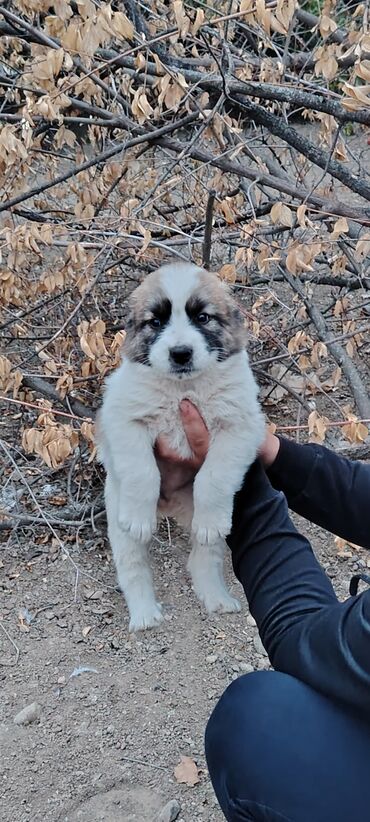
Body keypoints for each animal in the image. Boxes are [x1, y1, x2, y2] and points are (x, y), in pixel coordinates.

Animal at [97, 262, 264, 632]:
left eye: (202, 317)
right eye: (156, 322)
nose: (180, 353)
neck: (183, 389)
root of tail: (171, 507)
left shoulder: (241, 427)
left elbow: (214, 478)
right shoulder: (123, 419)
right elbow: (140, 471)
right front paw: (139, 515)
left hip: (213, 525)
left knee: (204, 556)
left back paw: (216, 597)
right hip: (117, 517)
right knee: (133, 568)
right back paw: (144, 614)